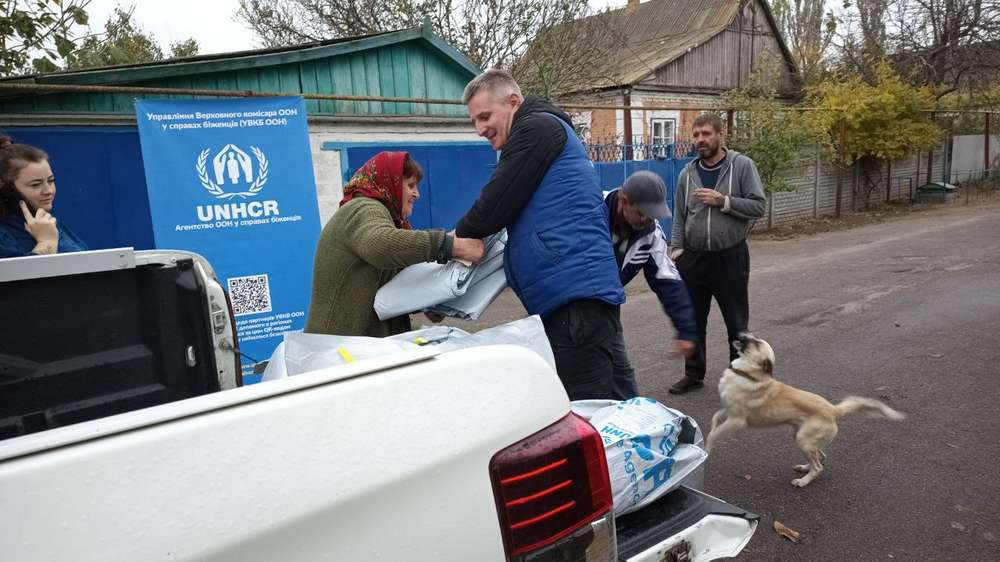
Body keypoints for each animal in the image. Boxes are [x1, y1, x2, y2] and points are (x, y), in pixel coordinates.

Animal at [704, 332, 908, 486]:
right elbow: (715, 419)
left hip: (803, 439)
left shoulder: (736, 421)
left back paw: (803, 481)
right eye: (753, 336)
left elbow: (713, 436)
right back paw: (805, 468)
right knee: (821, 456)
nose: (740, 332)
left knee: (819, 466)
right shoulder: (727, 411)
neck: (746, 374)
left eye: (756, 342)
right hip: (801, 436)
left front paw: (706, 451)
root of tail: (833, 410)